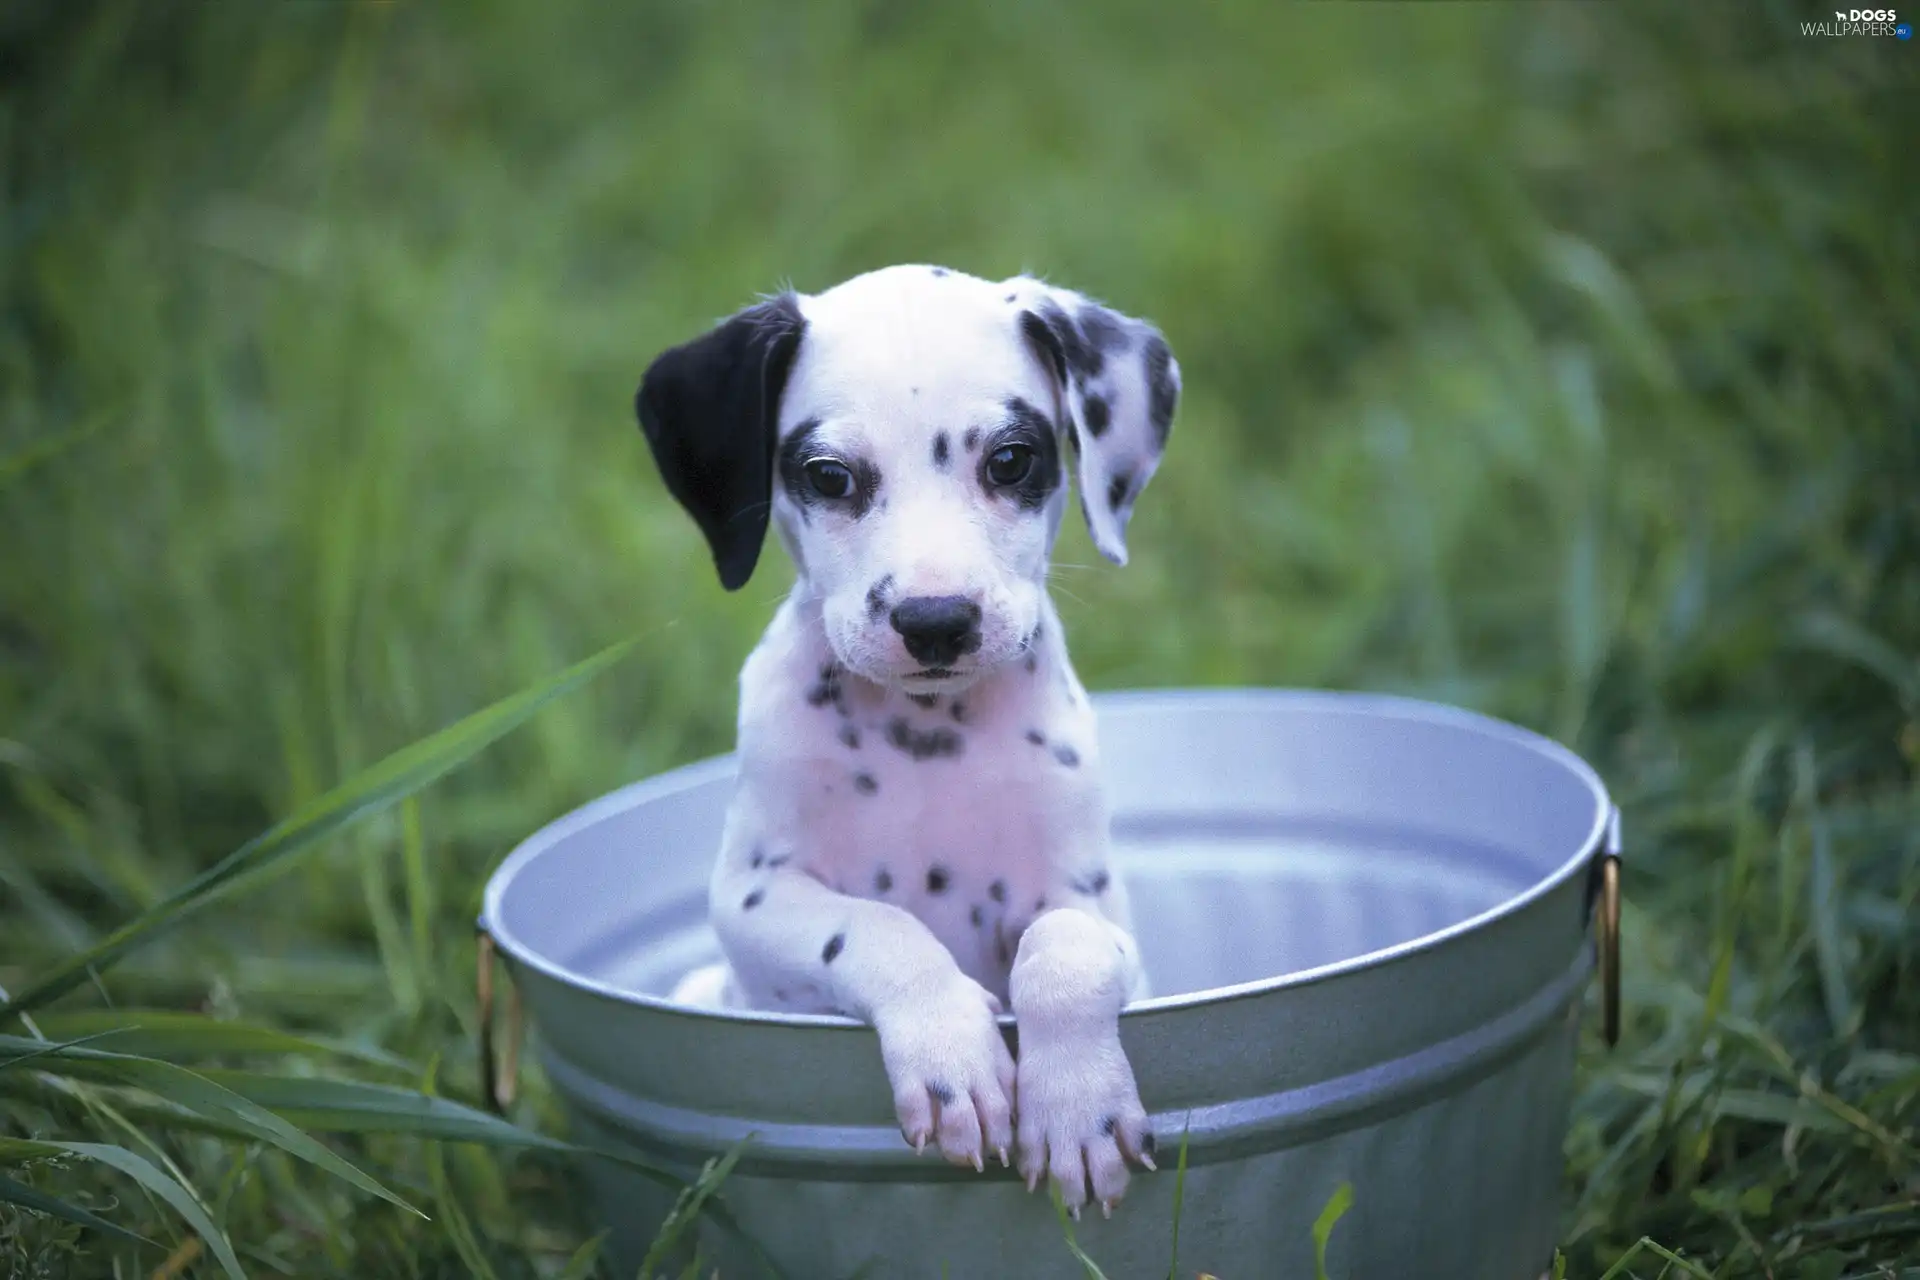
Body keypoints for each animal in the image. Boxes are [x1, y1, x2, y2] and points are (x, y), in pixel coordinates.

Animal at [637, 262, 1175, 1220]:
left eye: (1010, 460)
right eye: (829, 476)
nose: (935, 622)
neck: (927, 739)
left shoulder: (1096, 908)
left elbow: (1062, 949)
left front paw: (1076, 1107)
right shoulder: (751, 901)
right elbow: (875, 925)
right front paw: (951, 1055)